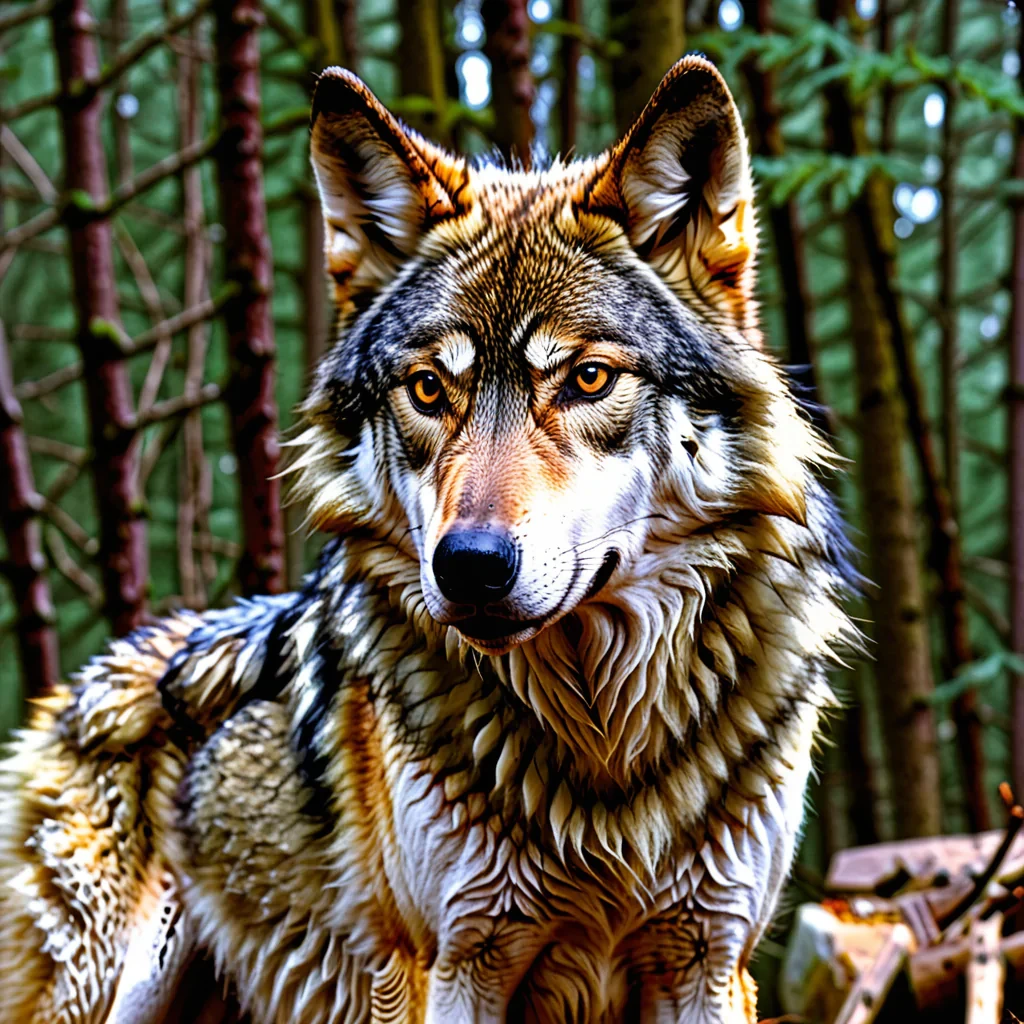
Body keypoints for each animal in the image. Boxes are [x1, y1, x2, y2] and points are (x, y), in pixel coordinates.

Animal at [0, 57, 854, 1024]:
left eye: (587, 379)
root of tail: (75, 691)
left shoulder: (709, 961)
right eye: (427, 390)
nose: (470, 567)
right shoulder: (451, 963)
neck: (600, 749)